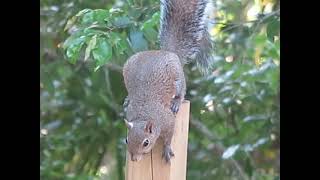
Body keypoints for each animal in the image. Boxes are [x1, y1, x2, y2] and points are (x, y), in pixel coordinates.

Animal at [124, 0, 214, 163]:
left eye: (146, 143)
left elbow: (168, 137)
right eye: (126, 140)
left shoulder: (168, 121)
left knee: (182, 91)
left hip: (178, 78)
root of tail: (167, 52)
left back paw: (177, 102)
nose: (134, 159)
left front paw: (166, 149)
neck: (143, 115)